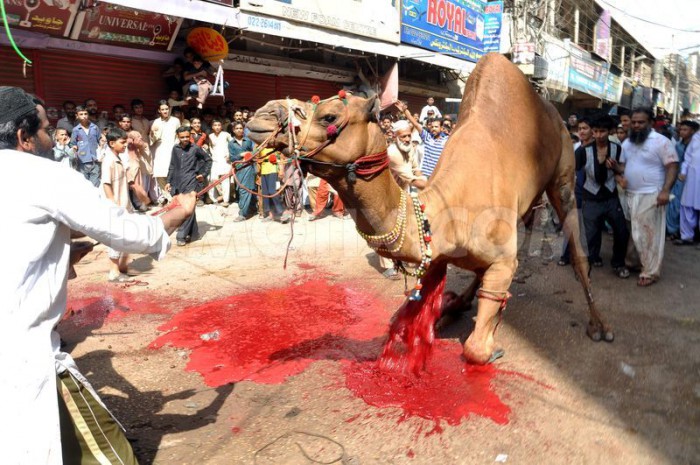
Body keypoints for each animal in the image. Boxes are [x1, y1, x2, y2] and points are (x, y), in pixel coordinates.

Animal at [246, 53, 613, 365]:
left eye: (329, 116)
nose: (262, 115)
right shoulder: (439, 254)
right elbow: (404, 315)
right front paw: (444, 311)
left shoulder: (502, 258)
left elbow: (475, 348)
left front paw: (492, 344)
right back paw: (458, 303)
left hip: (563, 172)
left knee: (576, 248)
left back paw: (600, 325)